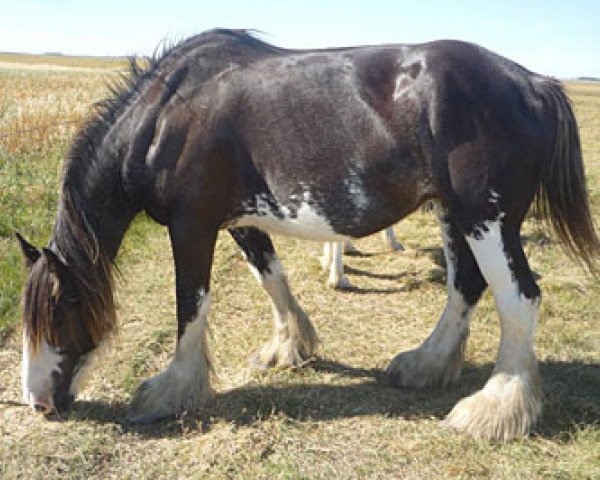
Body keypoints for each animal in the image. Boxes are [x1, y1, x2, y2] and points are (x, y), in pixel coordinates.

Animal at [16, 29, 596, 442]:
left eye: (61, 310)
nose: (40, 403)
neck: (168, 114)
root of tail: (534, 83)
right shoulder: (242, 222)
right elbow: (271, 279)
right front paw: (289, 346)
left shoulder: (192, 226)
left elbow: (190, 305)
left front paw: (169, 391)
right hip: (455, 215)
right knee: (465, 286)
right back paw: (424, 365)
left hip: (486, 218)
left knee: (517, 298)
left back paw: (495, 408)